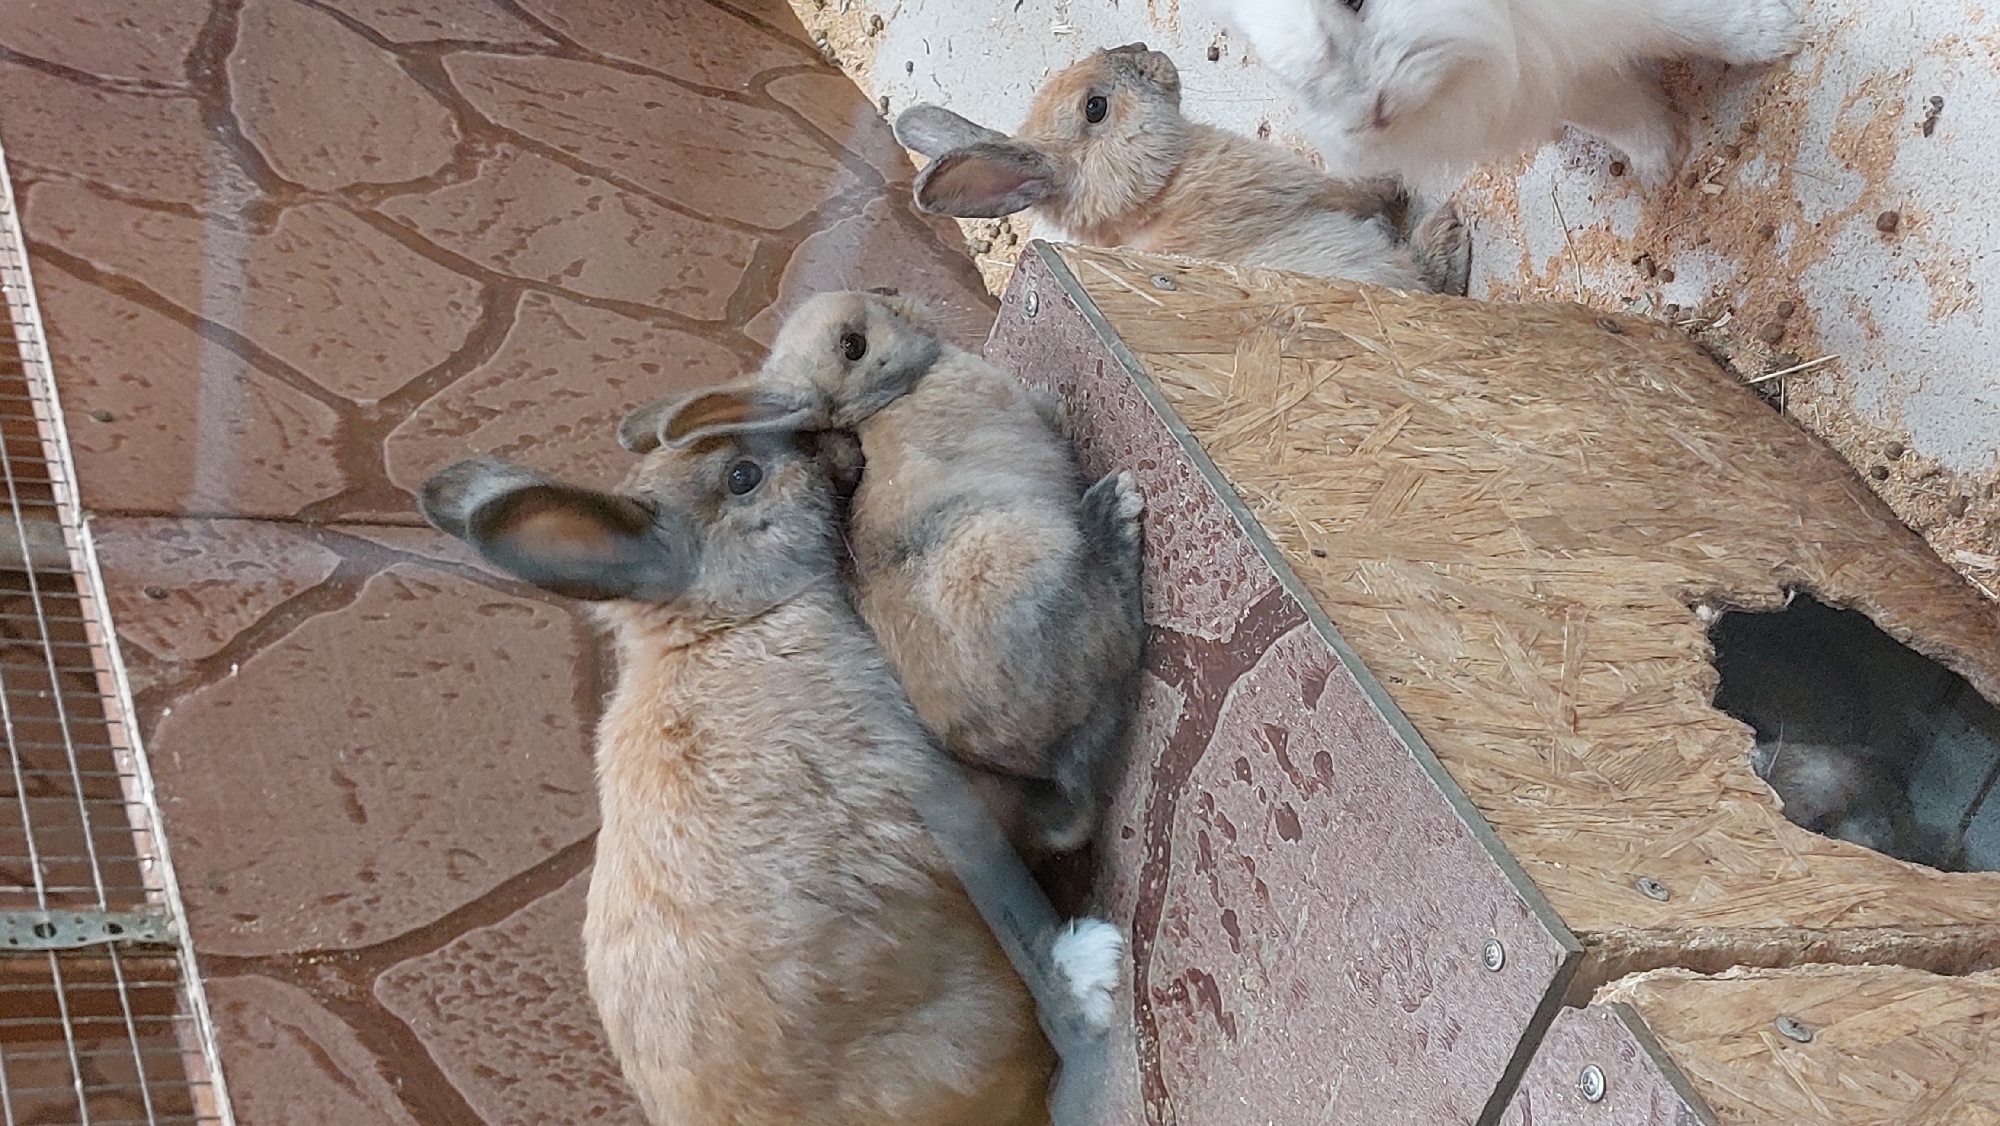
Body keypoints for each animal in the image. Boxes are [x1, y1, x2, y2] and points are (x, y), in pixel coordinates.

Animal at [622, 290, 1148, 856]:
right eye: (853, 344)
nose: (897, 295)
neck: (884, 401)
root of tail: (1055, 761)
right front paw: (1061, 405)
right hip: (1029, 560)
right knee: (1121, 634)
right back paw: (1115, 510)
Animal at [893, 44, 1472, 295]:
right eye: (1095, 108)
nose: (1144, 49)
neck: (1152, 191)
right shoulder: (1301, 188)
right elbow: (1353, 192)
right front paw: (1392, 183)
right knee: (1424, 274)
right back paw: (1446, 229)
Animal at [1204, 0, 1804, 186]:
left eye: (1354, 0)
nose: (1371, 115)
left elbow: (1694, 22)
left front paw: (1779, 37)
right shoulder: (1549, 77)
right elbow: (1614, 116)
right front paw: (1662, 163)